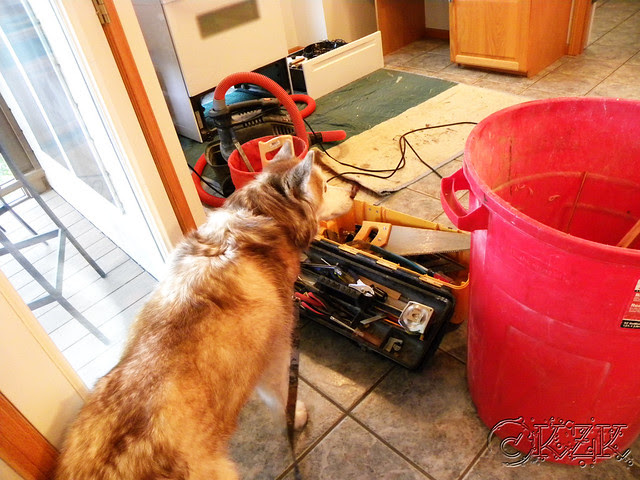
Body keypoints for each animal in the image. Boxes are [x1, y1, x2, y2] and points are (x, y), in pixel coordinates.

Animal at [55, 144, 352, 480]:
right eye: (325, 186)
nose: (353, 192)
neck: (262, 214)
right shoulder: (275, 352)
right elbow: (279, 395)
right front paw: (294, 417)